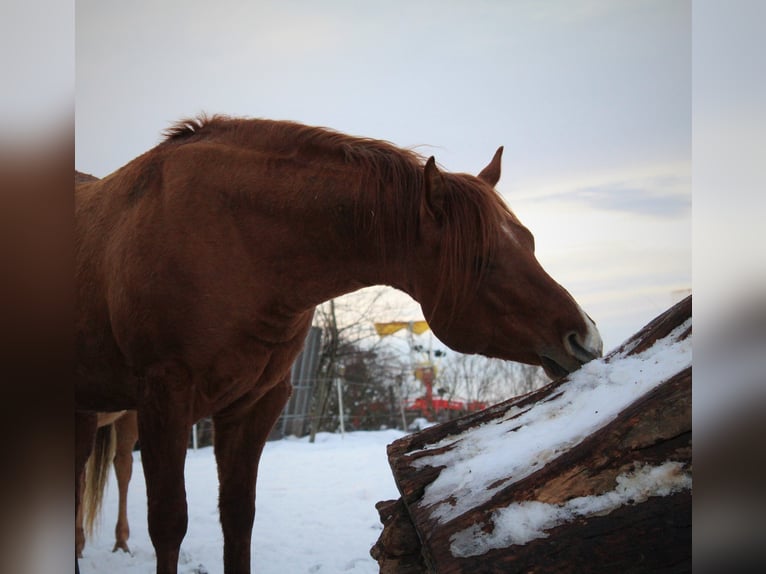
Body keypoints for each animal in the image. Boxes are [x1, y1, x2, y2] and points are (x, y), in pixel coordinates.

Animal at [75, 115, 603, 574]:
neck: (230, 240)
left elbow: (238, 519)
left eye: (529, 241)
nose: (585, 339)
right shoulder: (164, 398)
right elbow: (168, 524)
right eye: (481, 259)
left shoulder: (257, 404)